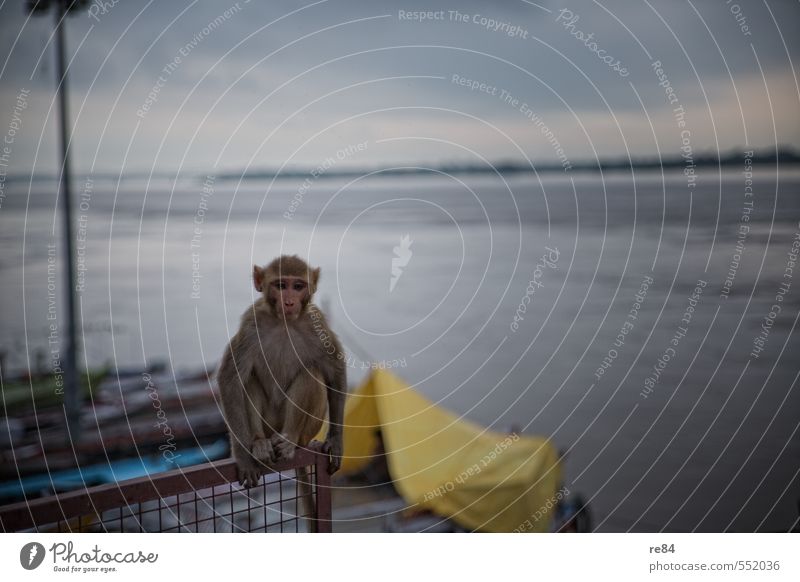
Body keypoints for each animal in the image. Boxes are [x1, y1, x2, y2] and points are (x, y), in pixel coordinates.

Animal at [217, 256, 346, 524]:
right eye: (280, 285)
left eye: (298, 286)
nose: (289, 301)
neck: (284, 322)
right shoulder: (251, 322)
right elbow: (230, 379)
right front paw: (243, 457)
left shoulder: (317, 321)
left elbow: (335, 371)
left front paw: (336, 442)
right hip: (269, 425)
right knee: (249, 379)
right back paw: (259, 443)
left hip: (309, 429)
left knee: (311, 372)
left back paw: (289, 440)